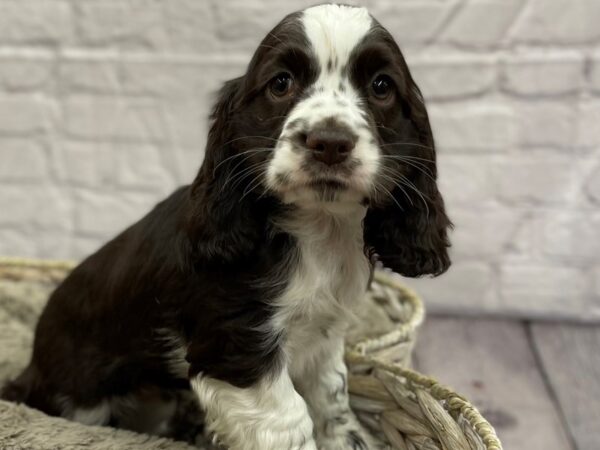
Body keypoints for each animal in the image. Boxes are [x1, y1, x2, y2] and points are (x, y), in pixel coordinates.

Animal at [1, 4, 450, 450]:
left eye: (381, 86)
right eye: (280, 83)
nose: (329, 142)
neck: (318, 228)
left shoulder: (323, 335)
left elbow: (332, 396)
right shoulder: (238, 344)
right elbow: (288, 419)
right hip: (79, 396)